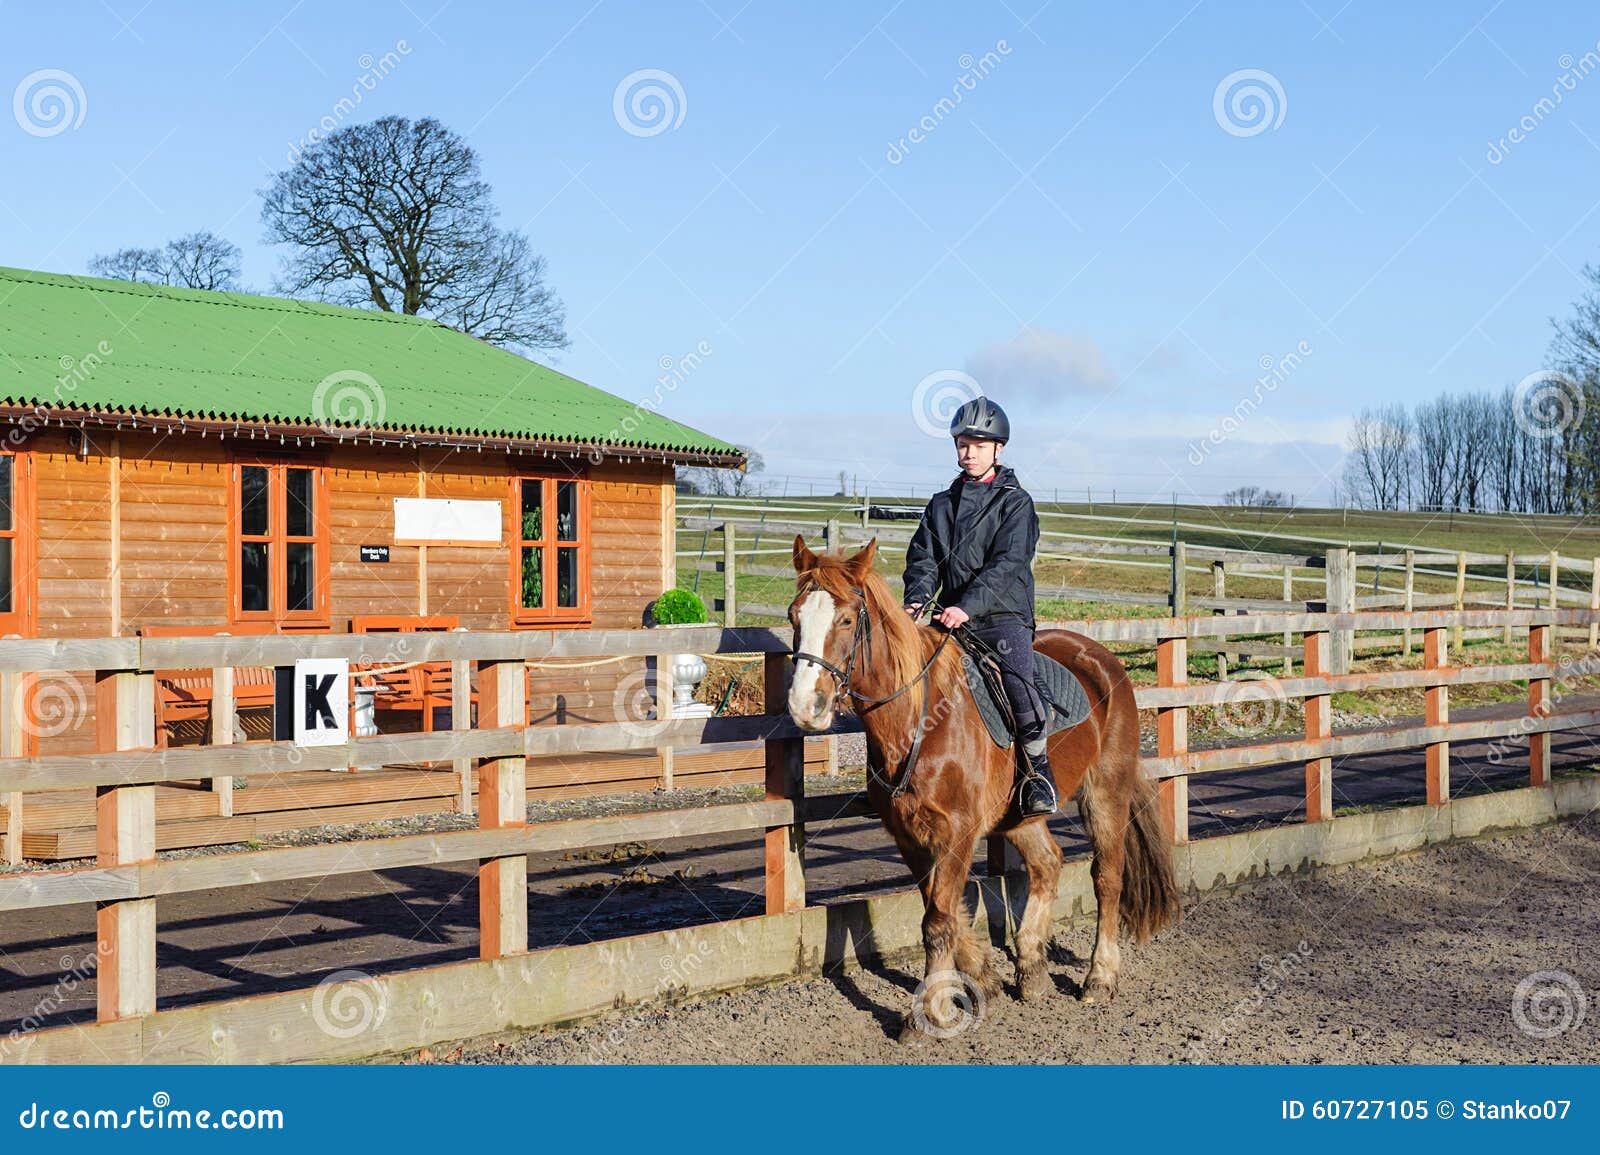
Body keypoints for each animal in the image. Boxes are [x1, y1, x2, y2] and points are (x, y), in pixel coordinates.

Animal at [785, 534, 1180, 1037]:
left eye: (846, 619)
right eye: (794, 617)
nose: (805, 707)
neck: (918, 719)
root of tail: (1102, 656)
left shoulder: (957, 831)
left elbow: (938, 920)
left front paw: (929, 1011)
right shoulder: (908, 836)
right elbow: (944, 912)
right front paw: (984, 978)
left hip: (1106, 791)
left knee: (1107, 876)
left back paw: (1099, 978)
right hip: (1019, 814)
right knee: (1047, 864)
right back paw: (1031, 968)